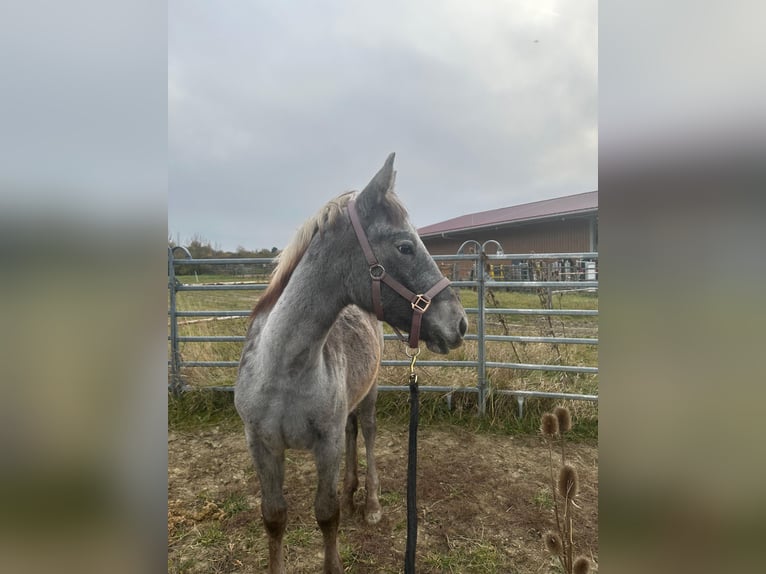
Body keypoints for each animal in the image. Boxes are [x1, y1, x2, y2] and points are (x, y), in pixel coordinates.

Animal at [234, 153, 467, 573]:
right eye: (405, 247)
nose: (460, 323)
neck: (281, 371)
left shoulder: (325, 445)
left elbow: (326, 515)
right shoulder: (260, 444)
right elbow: (274, 516)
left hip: (371, 392)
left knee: (369, 433)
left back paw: (370, 502)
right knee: (352, 432)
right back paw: (350, 491)